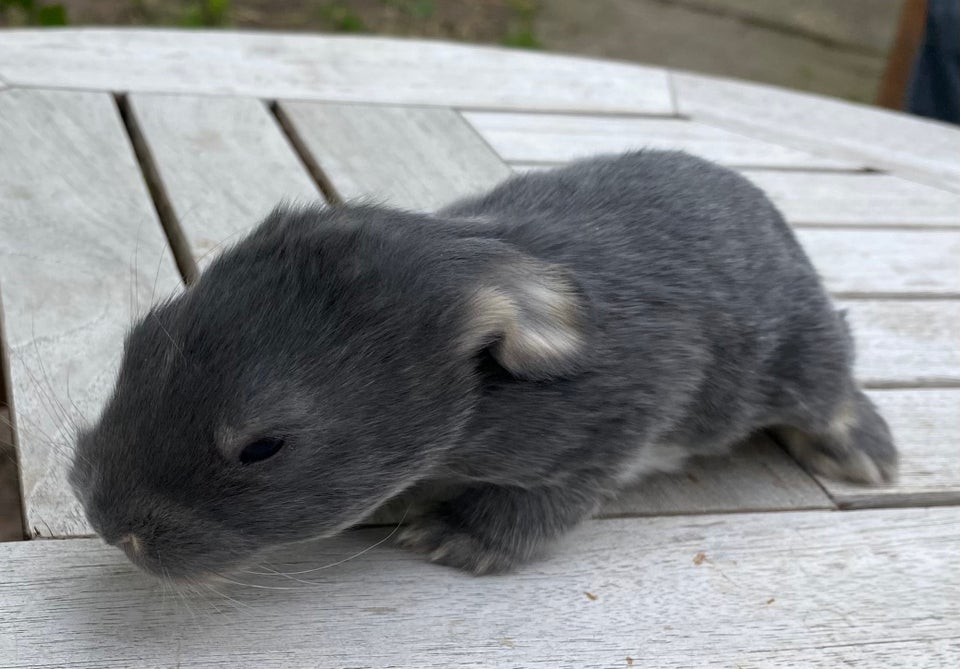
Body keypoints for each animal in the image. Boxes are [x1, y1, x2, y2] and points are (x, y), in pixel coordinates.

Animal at [71, 149, 896, 576]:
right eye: (137, 343)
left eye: (262, 447)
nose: (109, 522)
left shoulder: (604, 438)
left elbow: (538, 506)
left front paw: (453, 537)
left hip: (798, 357)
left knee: (833, 381)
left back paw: (863, 451)